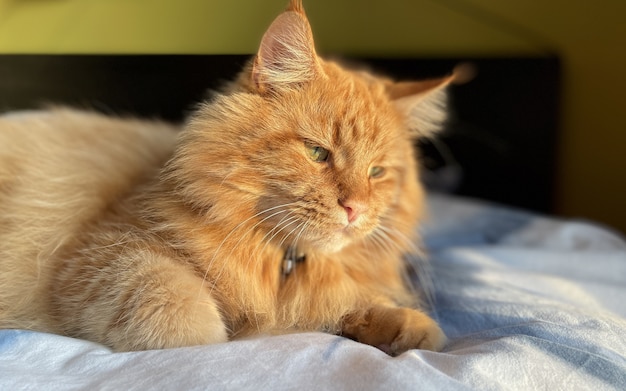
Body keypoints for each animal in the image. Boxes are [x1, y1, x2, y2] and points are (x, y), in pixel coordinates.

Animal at [0, 0, 454, 356]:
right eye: (317, 153)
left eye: (377, 172)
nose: (354, 208)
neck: (282, 263)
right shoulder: (107, 251)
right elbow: (184, 315)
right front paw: (226, 338)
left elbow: (353, 302)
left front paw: (410, 329)